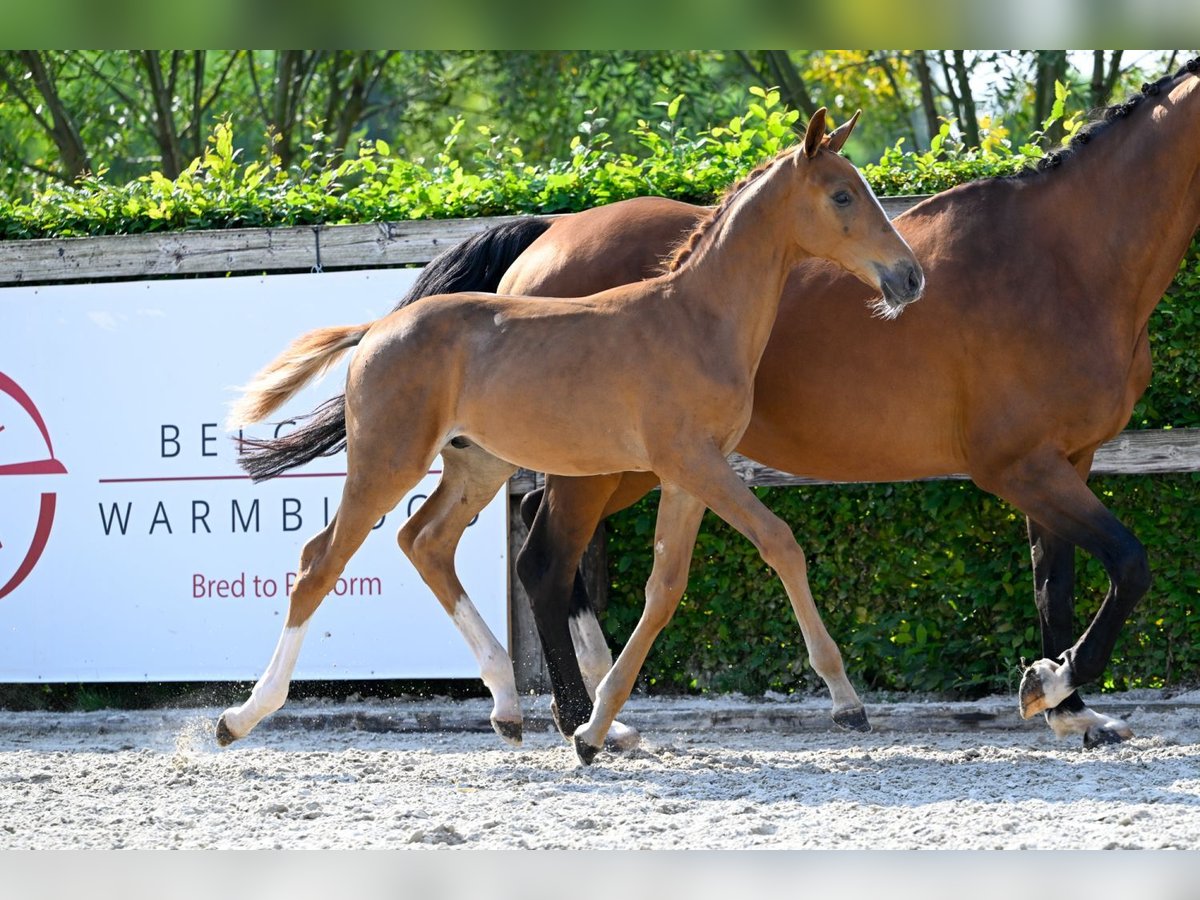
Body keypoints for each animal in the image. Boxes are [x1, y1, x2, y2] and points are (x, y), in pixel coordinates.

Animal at [218, 109, 926, 763]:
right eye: (842, 195)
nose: (910, 277)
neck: (694, 318)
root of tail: (376, 331)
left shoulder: (688, 475)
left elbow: (664, 588)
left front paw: (594, 730)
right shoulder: (695, 463)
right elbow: (780, 543)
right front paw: (846, 700)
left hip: (478, 467)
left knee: (425, 542)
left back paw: (509, 706)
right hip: (388, 462)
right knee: (322, 562)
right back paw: (241, 716)